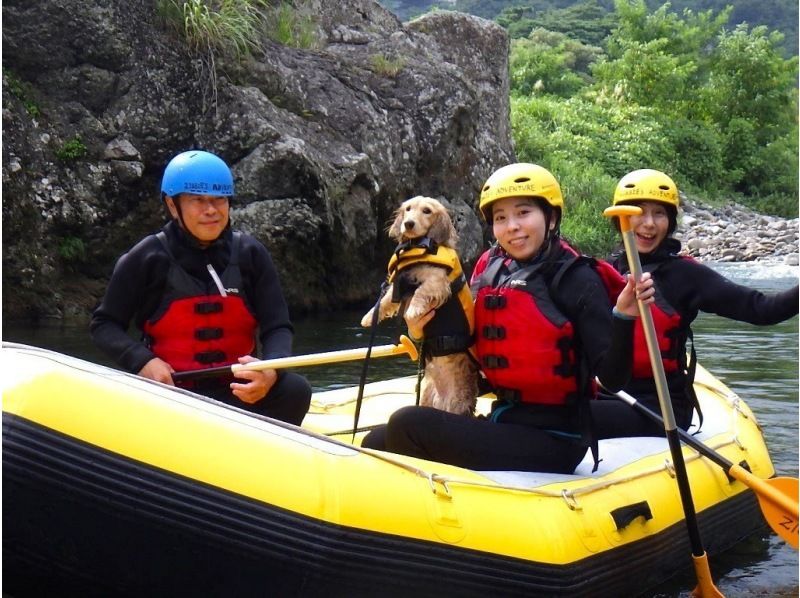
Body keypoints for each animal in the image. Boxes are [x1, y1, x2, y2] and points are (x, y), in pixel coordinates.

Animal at [360, 198, 478, 418]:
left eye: (427, 211)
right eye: (408, 209)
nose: (408, 224)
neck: (417, 246)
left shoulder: (437, 281)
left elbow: (420, 292)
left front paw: (413, 310)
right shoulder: (399, 283)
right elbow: (385, 300)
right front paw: (369, 316)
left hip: (455, 404)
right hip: (426, 397)